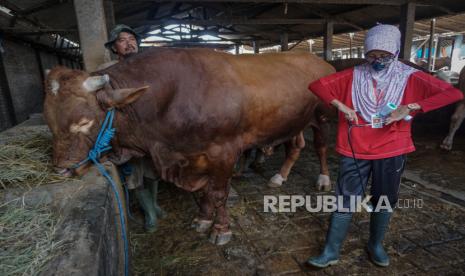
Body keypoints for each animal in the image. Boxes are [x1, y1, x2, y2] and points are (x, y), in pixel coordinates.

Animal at [43, 48, 334, 245]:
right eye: (49, 119)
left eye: (84, 121)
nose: (61, 170)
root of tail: (318, 60)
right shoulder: (195, 157)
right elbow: (206, 193)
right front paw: (203, 219)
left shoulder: (224, 152)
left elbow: (218, 194)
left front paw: (221, 229)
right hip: (294, 121)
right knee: (295, 145)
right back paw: (279, 177)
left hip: (322, 118)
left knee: (320, 147)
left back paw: (323, 179)